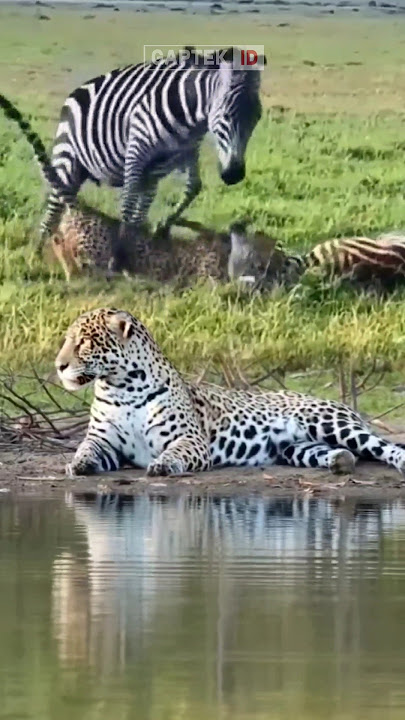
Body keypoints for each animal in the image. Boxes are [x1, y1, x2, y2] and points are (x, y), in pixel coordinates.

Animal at [41, 46, 266, 245]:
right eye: (226, 115)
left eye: (257, 117)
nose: (234, 175)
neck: (190, 115)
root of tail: (76, 93)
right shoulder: (137, 150)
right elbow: (129, 202)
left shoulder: (185, 151)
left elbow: (193, 187)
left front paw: (161, 227)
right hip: (67, 159)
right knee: (52, 211)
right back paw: (39, 251)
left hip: (81, 171)